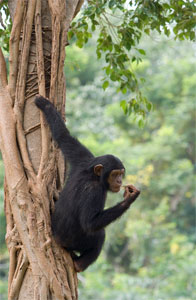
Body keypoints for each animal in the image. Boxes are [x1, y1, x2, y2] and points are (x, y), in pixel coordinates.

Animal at [34, 95, 140, 272]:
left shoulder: (83, 157)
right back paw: (80, 264)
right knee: (100, 235)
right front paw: (129, 199)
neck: (94, 176)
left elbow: (64, 137)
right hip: (75, 242)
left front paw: (45, 105)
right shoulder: (94, 191)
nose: (120, 181)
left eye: (121, 173)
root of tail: (56, 238)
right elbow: (90, 223)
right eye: (115, 174)